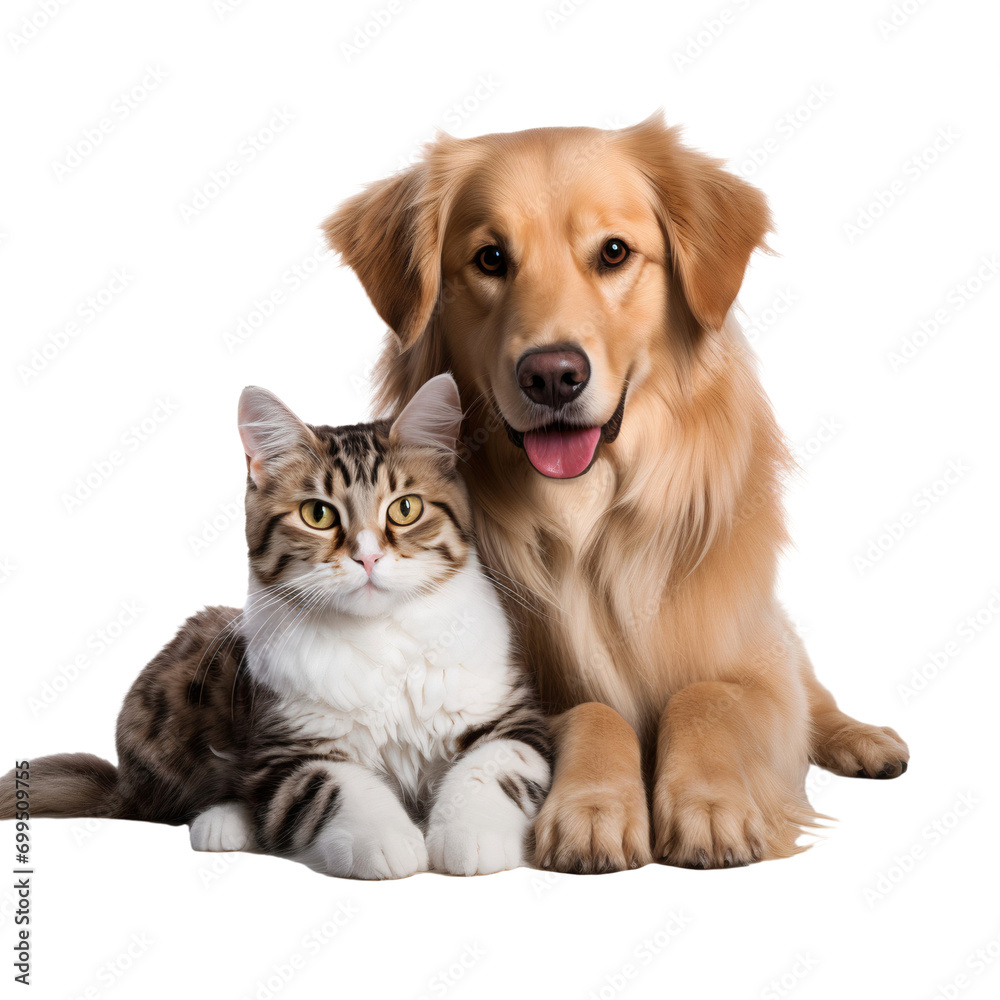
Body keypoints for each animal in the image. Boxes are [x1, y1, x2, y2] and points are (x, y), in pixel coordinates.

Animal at [0, 376, 552, 876]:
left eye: (405, 508)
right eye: (318, 514)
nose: (368, 557)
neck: (379, 637)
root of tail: (120, 780)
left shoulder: (513, 719)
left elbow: (492, 768)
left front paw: (469, 835)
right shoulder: (288, 748)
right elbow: (337, 787)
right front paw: (388, 841)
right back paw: (224, 824)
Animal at [324, 113, 912, 872]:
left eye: (613, 252)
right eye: (490, 259)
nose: (552, 375)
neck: (588, 512)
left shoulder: (756, 672)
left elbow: (706, 695)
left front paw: (710, 806)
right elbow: (594, 711)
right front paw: (595, 809)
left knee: (815, 693)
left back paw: (863, 740)